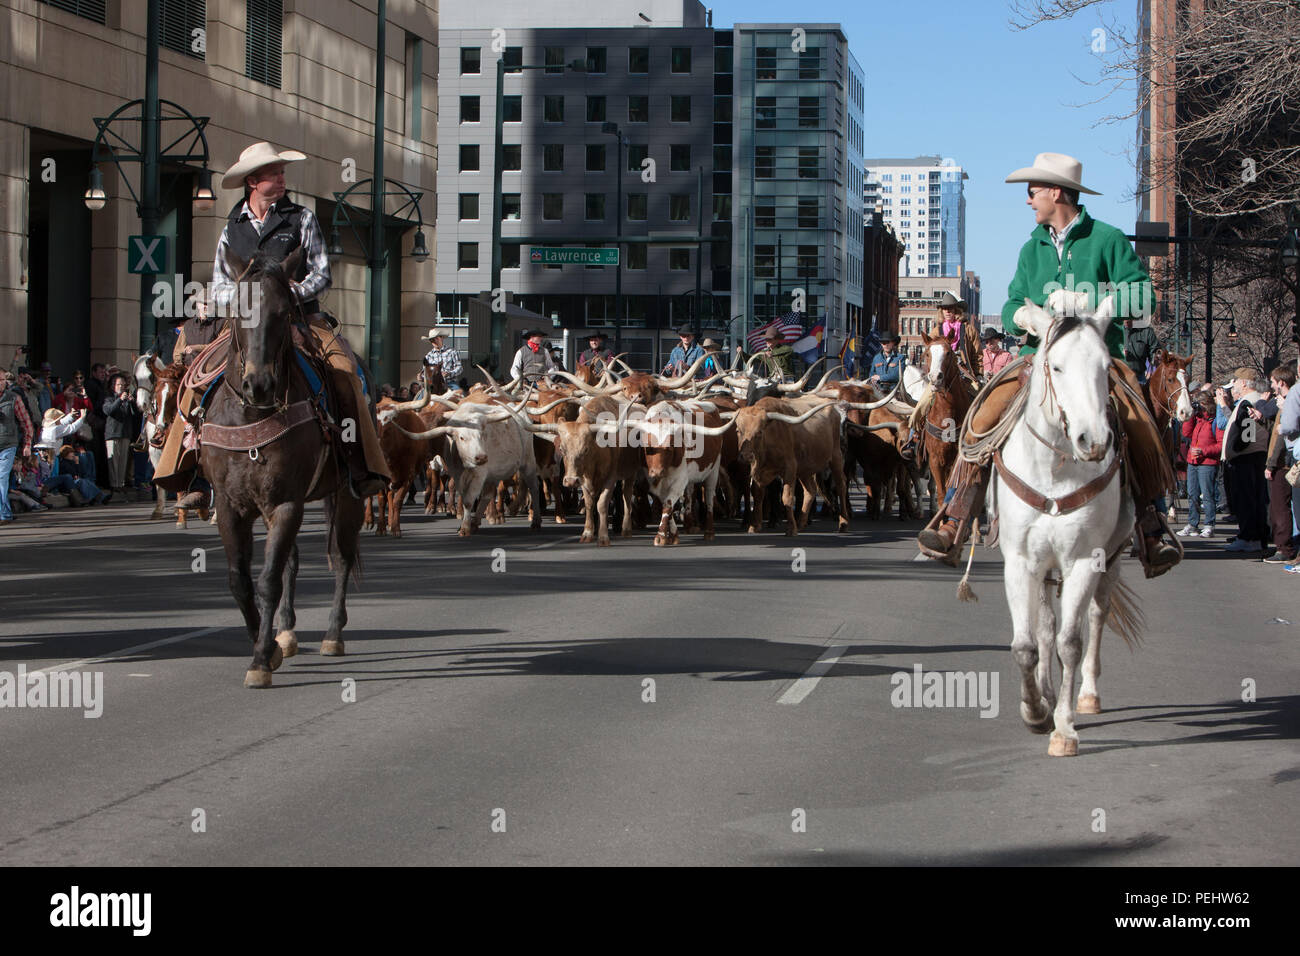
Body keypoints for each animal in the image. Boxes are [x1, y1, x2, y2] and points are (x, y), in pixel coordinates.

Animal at [202, 248, 366, 686]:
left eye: (283, 312)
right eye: (238, 311)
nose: (259, 384)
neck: (250, 417)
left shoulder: (286, 503)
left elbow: (268, 581)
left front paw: (261, 658)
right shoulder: (231, 506)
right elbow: (240, 581)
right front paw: (271, 645)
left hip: (346, 495)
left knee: (341, 557)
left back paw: (332, 634)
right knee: (293, 560)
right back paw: (288, 632)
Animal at [987, 295, 1144, 759]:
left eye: (1106, 366)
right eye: (1055, 367)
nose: (1094, 441)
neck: (1056, 471)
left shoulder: (1083, 560)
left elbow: (1071, 642)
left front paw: (1064, 728)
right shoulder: (1021, 562)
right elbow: (1026, 644)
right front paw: (1036, 710)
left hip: (1111, 560)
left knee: (1095, 616)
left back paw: (1085, 696)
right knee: (1044, 627)